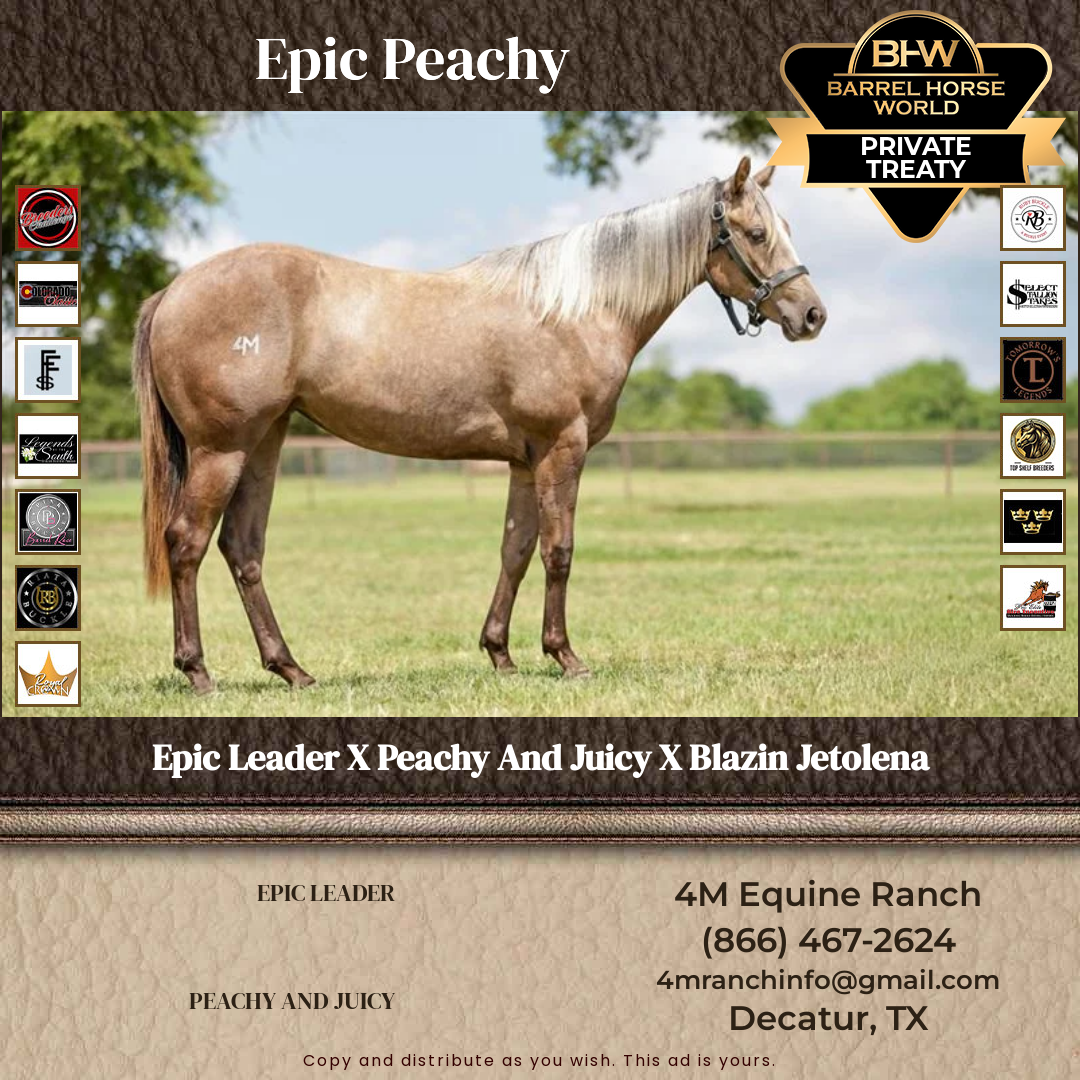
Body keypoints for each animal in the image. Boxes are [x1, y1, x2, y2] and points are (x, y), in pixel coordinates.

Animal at [133, 156, 826, 693]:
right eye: (756, 232)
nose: (812, 315)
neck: (575, 310)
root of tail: (173, 292)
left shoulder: (525, 459)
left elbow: (515, 551)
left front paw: (501, 655)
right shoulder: (562, 449)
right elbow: (559, 550)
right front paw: (565, 657)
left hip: (264, 443)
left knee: (242, 549)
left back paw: (291, 670)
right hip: (222, 449)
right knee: (187, 543)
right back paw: (198, 672)